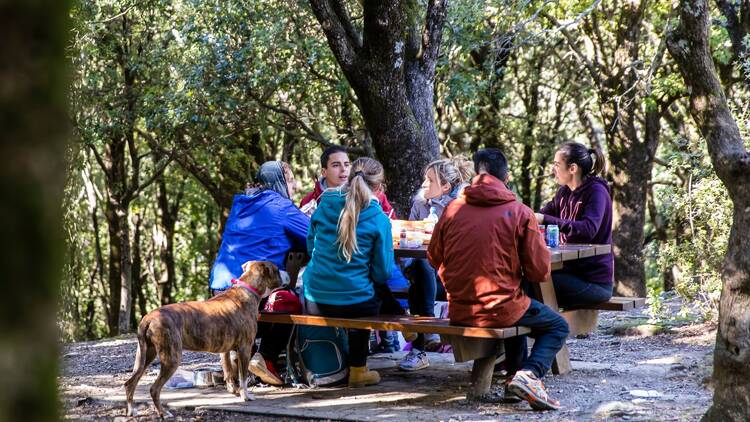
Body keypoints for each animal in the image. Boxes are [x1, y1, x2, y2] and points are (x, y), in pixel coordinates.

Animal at [125, 258, 280, 418]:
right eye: (277, 270)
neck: (247, 288)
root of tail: (149, 317)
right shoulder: (244, 349)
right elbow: (242, 377)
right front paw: (246, 396)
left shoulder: (229, 349)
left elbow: (229, 370)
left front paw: (235, 390)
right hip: (171, 358)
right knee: (154, 388)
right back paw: (163, 413)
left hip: (144, 355)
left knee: (130, 382)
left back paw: (132, 410)